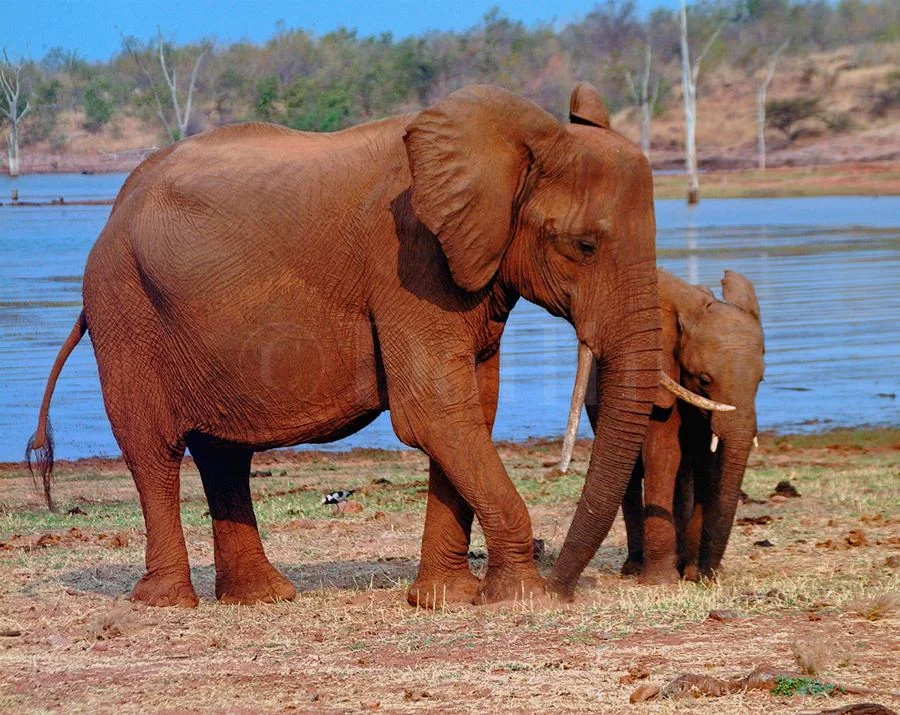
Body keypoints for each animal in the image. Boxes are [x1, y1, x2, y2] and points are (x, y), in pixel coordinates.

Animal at [26, 82, 670, 609]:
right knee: (153, 447)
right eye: (582, 246)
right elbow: (435, 412)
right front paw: (520, 599)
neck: (511, 147)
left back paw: (262, 598)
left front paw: (446, 600)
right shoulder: (407, 261)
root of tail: (114, 208)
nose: (564, 586)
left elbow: (471, 412)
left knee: (224, 453)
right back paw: (167, 604)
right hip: (125, 304)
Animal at [558, 268, 765, 584]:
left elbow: (707, 465)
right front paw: (660, 581)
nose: (708, 574)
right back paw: (634, 568)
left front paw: (690, 573)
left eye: (761, 380)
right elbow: (663, 453)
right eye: (704, 380)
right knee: (631, 473)